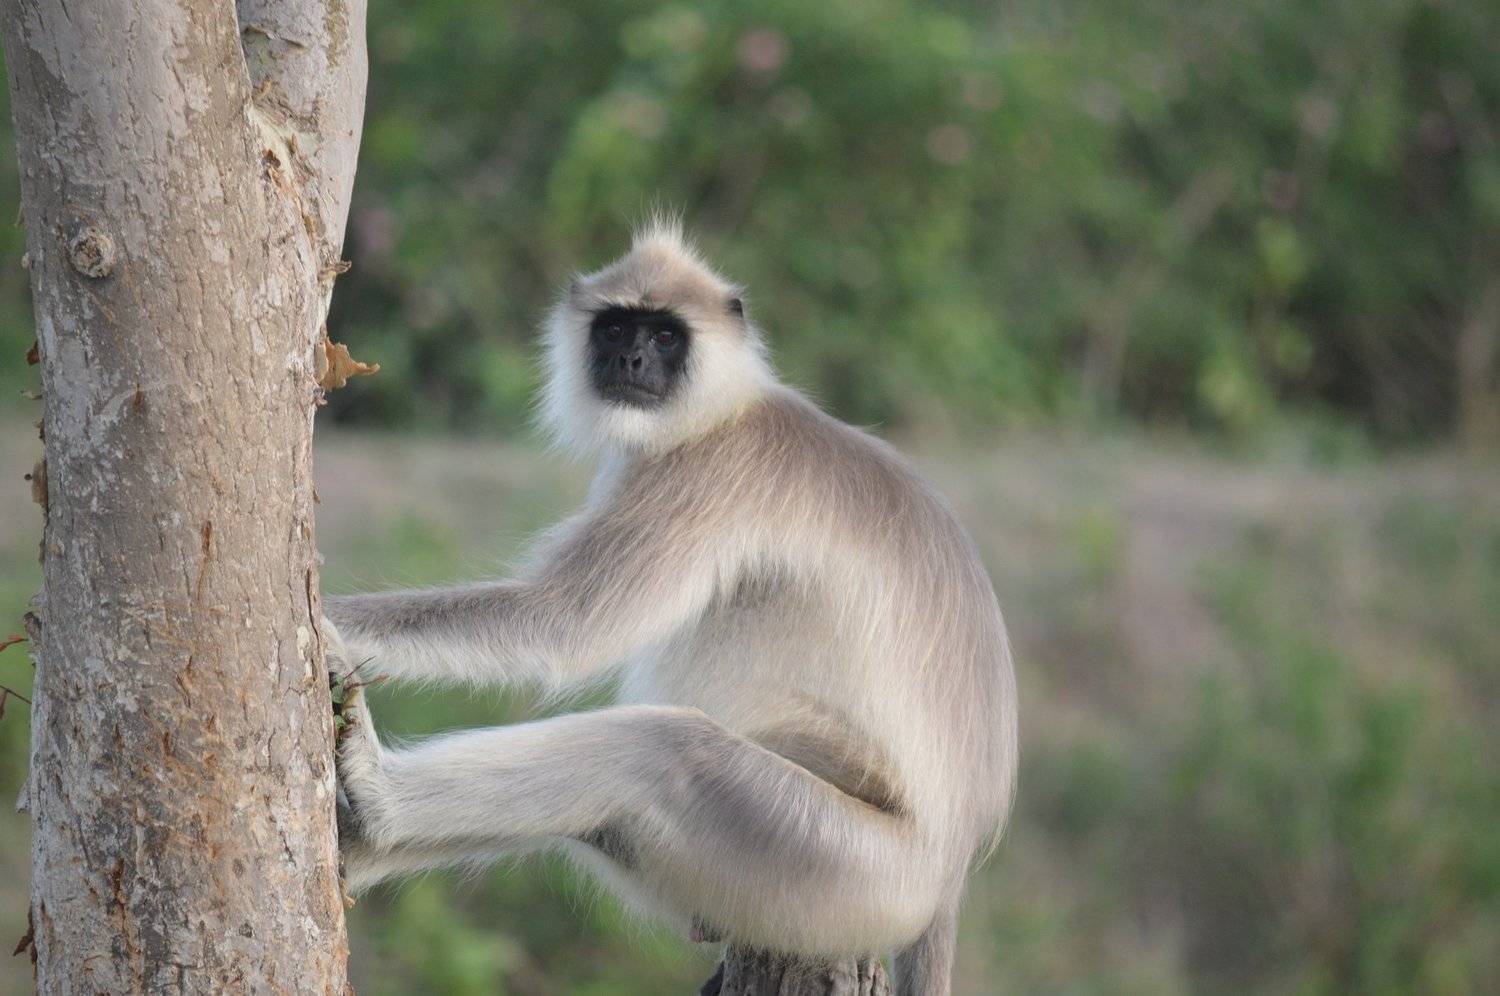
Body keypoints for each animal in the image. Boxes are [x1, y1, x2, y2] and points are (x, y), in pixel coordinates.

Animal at [324, 219, 1018, 995]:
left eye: (663, 336)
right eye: (616, 326)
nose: (628, 357)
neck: (727, 411)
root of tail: (950, 878)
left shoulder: (708, 471)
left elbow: (560, 624)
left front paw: (326, 622)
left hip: (841, 872)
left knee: (664, 749)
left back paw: (379, 801)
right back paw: (359, 841)